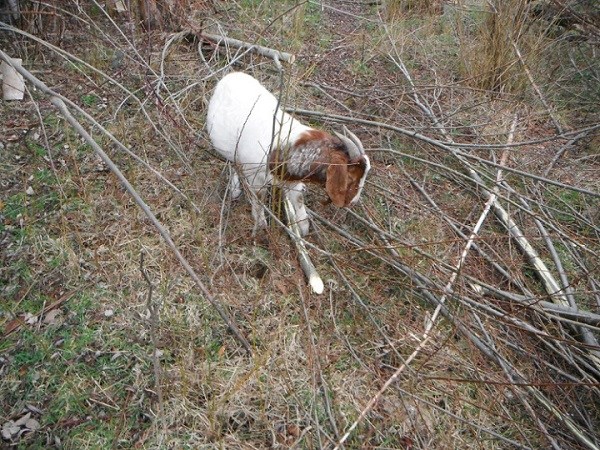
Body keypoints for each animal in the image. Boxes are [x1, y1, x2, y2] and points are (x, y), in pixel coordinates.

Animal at [205, 71, 370, 236]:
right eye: (350, 176)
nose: (353, 202)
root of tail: (232, 75)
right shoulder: (255, 175)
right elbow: (259, 199)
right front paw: (261, 224)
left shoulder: (293, 179)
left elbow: (298, 198)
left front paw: (303, 228)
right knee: (231, 163)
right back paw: (234, 189)